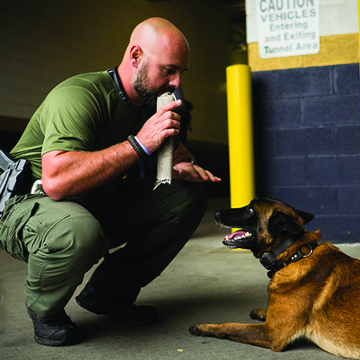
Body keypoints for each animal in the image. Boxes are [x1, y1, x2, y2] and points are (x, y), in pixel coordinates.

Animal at [188, 198, 360, 358]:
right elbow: (268, 312)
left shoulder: (271, 333)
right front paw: (261, 311)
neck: (293, 256)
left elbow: (231, 325)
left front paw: (203, 327)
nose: (215, 213)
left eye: (250, 210)